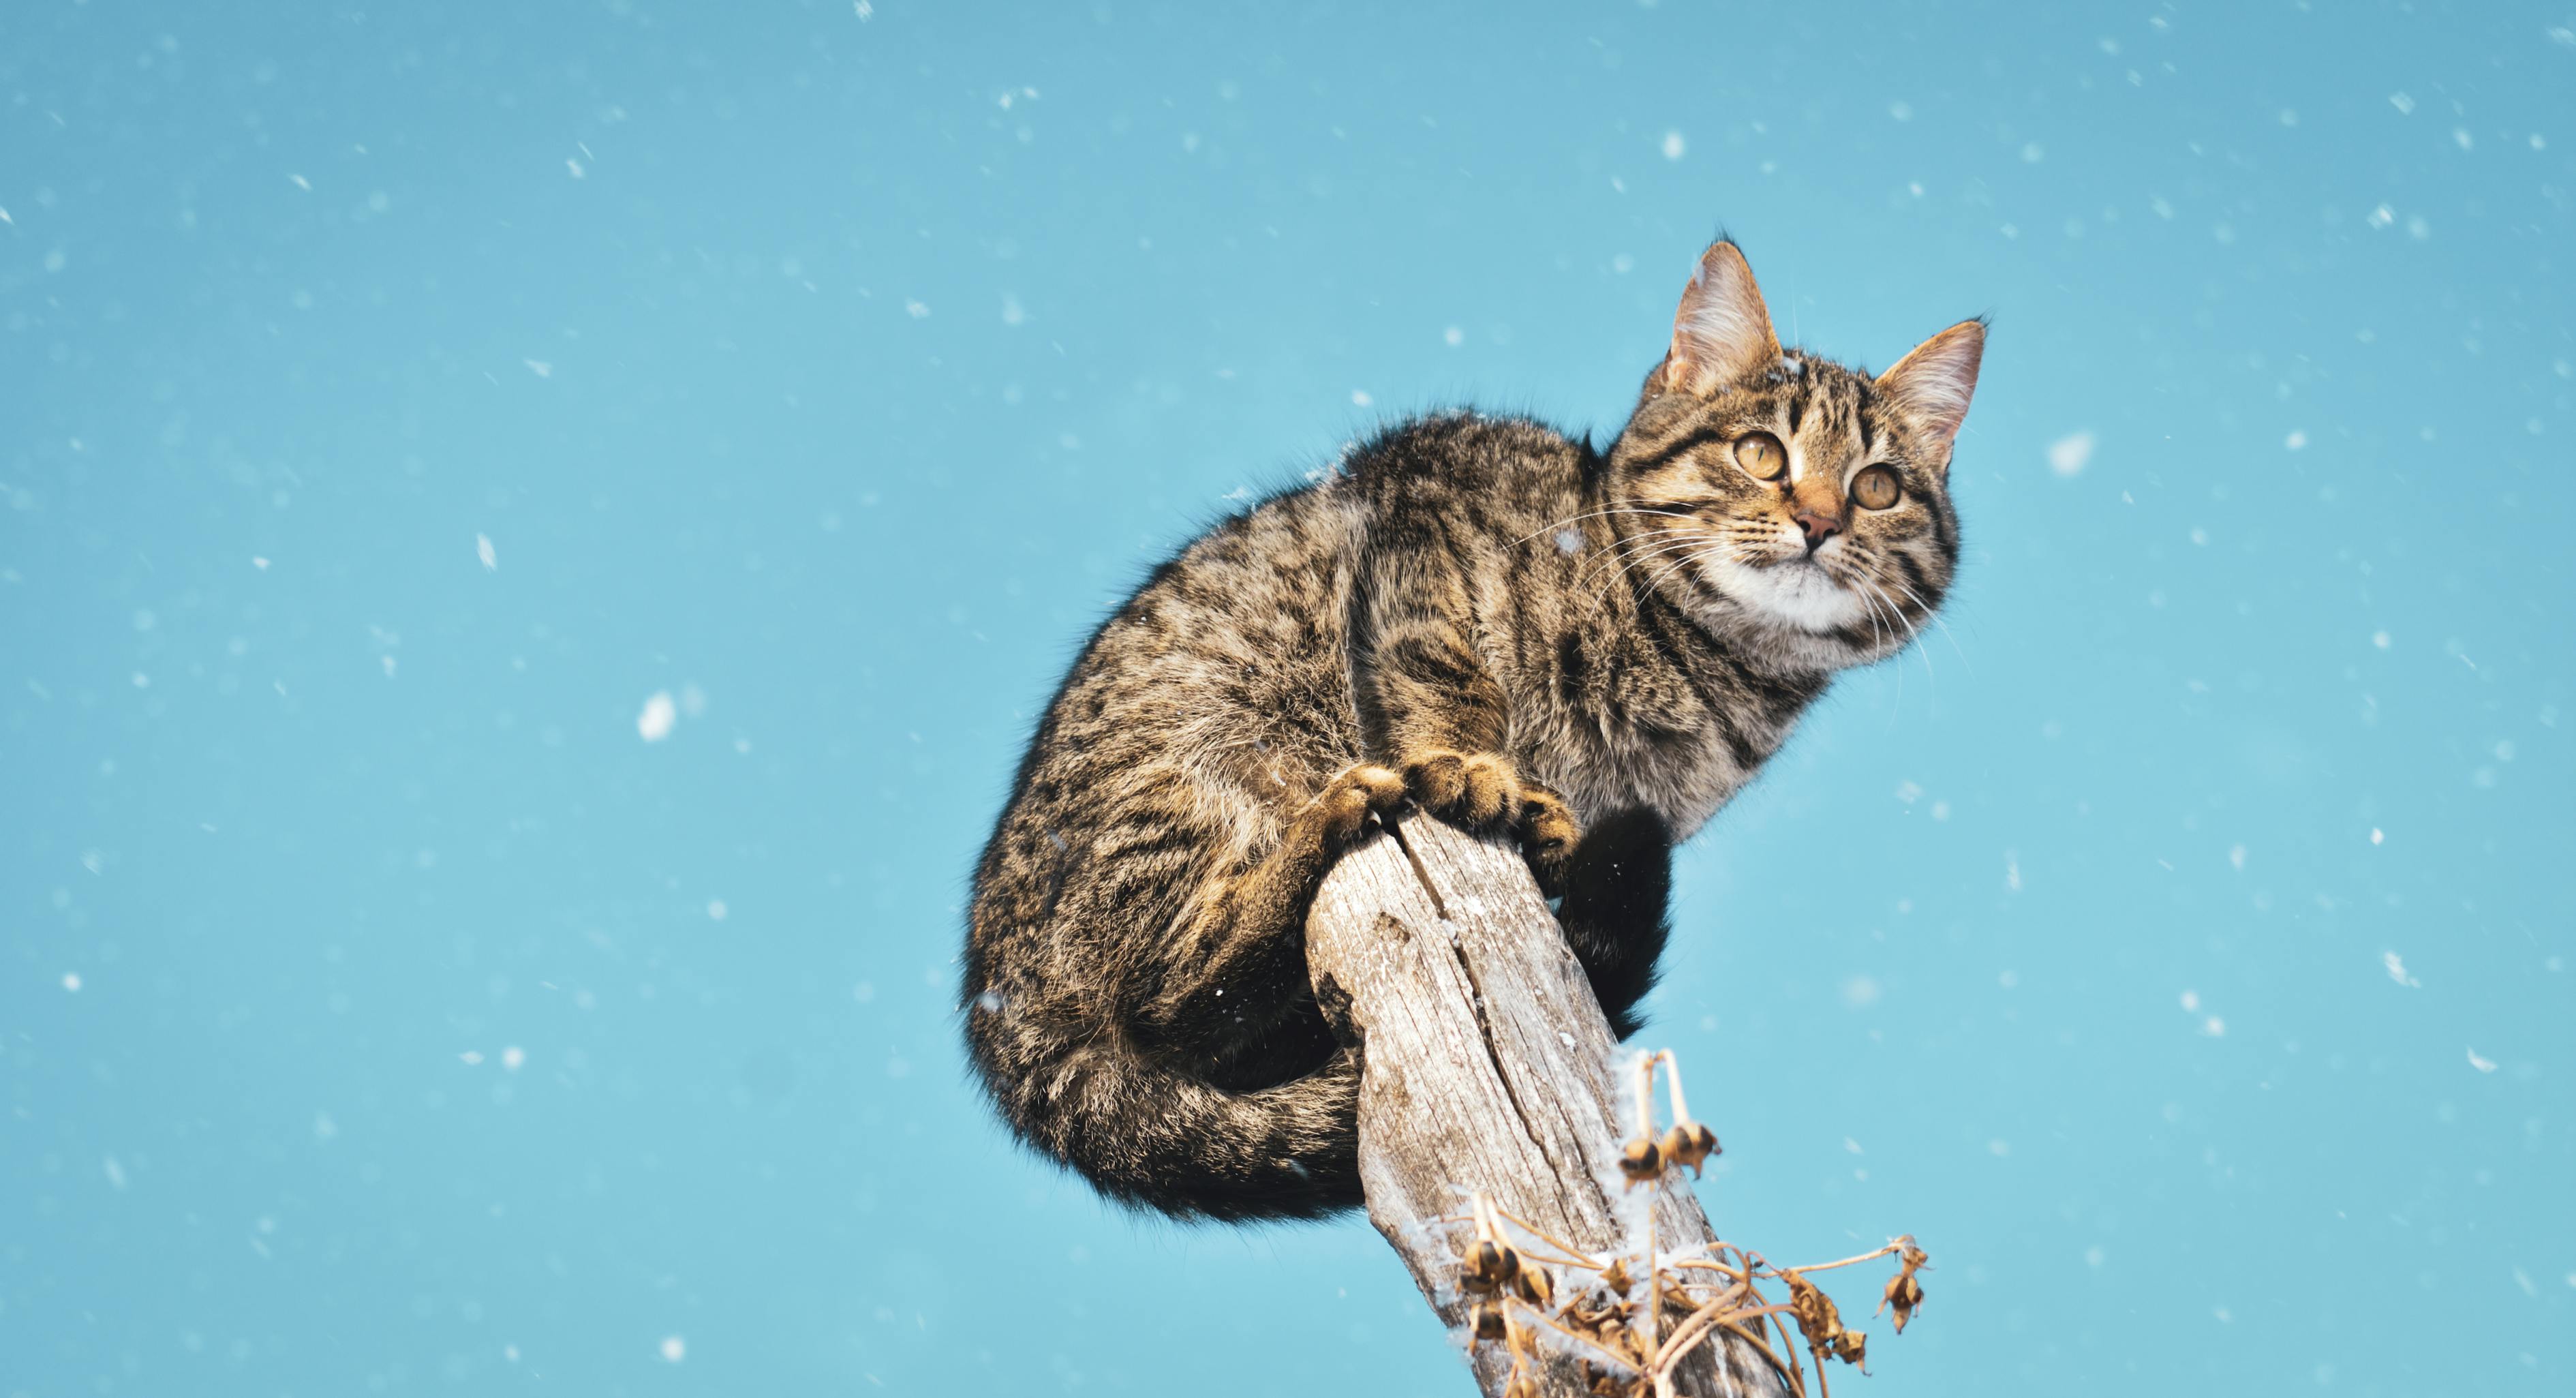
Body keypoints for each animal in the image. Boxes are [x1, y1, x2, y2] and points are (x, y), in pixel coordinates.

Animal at [958, 235, 1978, 1220]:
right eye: (1763, 454)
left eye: (1878, 487)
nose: (1820, 520)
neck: (1698, 667)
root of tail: (996, 1009)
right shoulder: (1424, 500)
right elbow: (1445, 671)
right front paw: (1471, 764)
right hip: (1191, 779)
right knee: (1171, 998)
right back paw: (1325, 823)